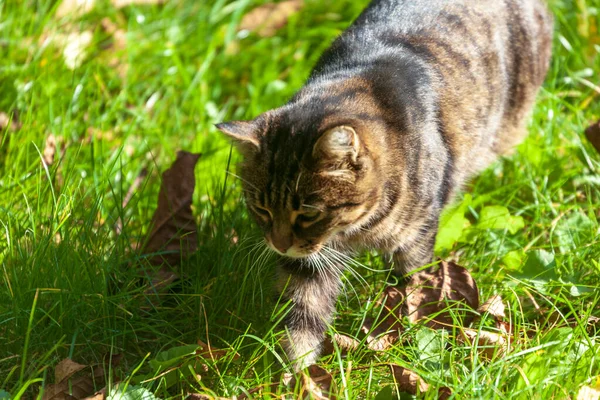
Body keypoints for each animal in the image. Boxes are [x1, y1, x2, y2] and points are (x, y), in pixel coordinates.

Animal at [217, 0, 552, 368]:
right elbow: (302, 314)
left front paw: (413, 341)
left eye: (307, 213)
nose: (279, 244)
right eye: (261, 208)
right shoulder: (310, 261)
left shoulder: (415, 238)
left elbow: (414, 292)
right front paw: (296, 372)